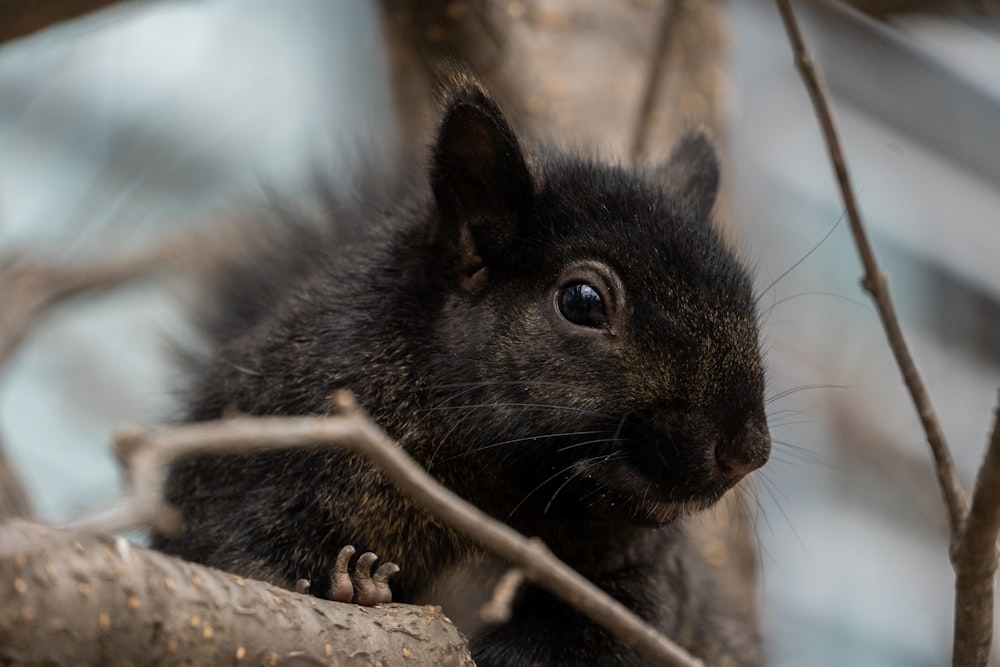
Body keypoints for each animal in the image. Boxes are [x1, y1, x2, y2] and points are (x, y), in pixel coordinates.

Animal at [154, 70, 772, 664]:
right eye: (582, 302)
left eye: (744, 292)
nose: (748, 451)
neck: (494, 492)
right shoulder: (267, 460)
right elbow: (239, 556)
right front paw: (349, 591)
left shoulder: (645, 571)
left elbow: (624, 625)